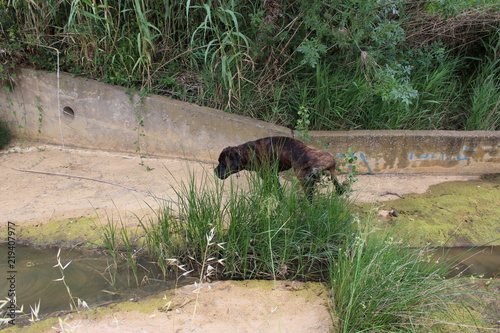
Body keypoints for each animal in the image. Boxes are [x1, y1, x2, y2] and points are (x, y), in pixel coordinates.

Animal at [215, 136, 344, 200]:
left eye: (223, 164)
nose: (215, 171)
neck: (247, 152)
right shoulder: (273, 176)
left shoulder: (269, 176)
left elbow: (271, 190)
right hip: (327, 163)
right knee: (335, 179)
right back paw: (339, 189)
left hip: (303, 178)